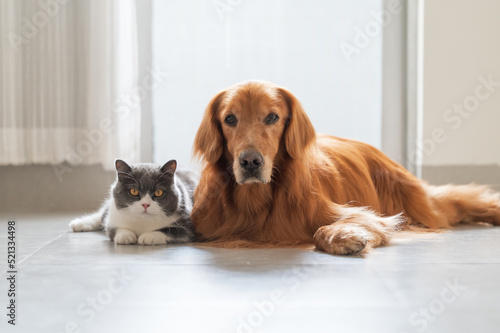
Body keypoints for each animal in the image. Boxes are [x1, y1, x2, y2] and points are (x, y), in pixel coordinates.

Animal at [69, 157, 198, 245]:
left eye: (158, 193)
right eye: (134, 191)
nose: (145, 204)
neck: (143, 222)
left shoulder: (187, 225)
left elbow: (171, 231)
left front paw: (148, 236)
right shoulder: (113, 219)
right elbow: (112, 228)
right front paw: (126, 236)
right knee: (102, 215)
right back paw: (78, 224)